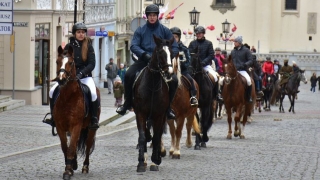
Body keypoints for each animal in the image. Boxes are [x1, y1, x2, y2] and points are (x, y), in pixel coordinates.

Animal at [51, 45, 100, 180]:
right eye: (57, 61)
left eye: (71, 62)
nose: (61, 79)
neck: (68, 98)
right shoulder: (60, 126)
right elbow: (65, 147)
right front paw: (70, 166)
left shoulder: (76, 125)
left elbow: (72, 147)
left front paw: (68, 171)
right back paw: (75, 163)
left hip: (90, 129)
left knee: (88, 145)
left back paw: (85, 167)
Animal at [133, 34, 175, 172]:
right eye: (160, 52)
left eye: (172, 53)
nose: (169, 73)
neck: (152, 84)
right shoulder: (140, 113)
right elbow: (142, 136)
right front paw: (141, 162)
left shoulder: (159, 115)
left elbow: (157, 136)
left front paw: (155, 160)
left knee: (158, 134)